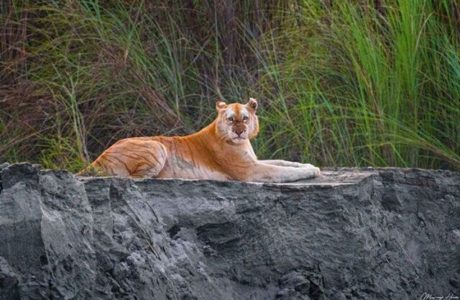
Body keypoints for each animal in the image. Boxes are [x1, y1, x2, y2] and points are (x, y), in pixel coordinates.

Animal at [76, 98, 320, 183]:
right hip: (157, 146)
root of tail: (98, 158)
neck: (241, 143)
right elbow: (283, 171)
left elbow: (284, 162)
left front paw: (311, 166)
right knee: (135, 179)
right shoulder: (250, 170)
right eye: (231, 119)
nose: (239, 132)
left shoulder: (254, 161)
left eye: (245, 118)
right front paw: (309, 171)